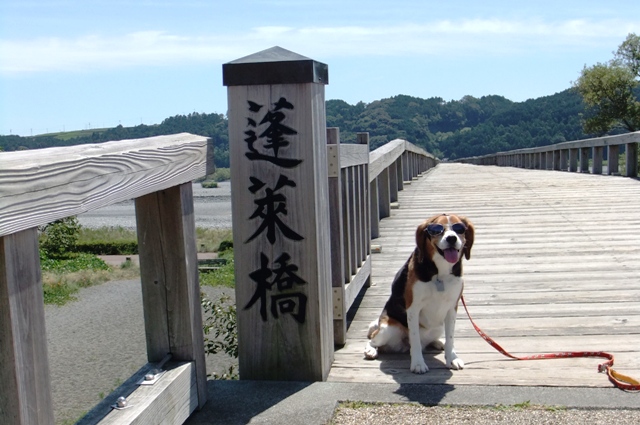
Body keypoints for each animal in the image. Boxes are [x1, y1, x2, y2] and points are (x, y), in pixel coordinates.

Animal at [362, 214, 472, 372]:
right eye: (437, 230)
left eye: (459, 228)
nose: (452, 238)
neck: (440, 273)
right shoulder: (413, 309)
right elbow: (415, 339)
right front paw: (418, 364)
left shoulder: (452, 308)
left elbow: (450, 337)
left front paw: (452, 358)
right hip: (389, 329)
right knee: (373, 339)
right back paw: (370, 350)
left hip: (438, 326)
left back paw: (439, 343)